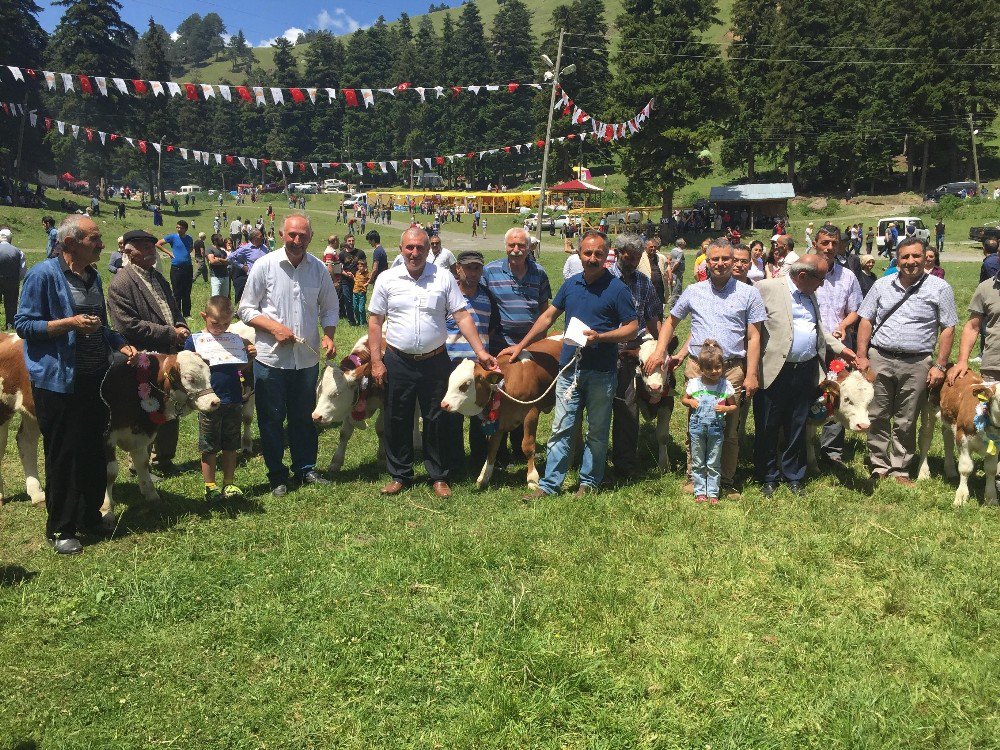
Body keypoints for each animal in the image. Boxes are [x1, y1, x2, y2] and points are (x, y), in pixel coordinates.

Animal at [444, 338, 568, 490]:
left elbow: (527, 446)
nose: (444, 404)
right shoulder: (499, 421)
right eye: (450, 381)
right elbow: (492, 448)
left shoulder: (531, 412)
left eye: (465, 385)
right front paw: (483, 477)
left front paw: (532, 479)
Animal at [916, 370, 1000, 506]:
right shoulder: (963, 438)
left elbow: (991, 470)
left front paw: (991, 498)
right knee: (925, 439)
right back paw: (923, 472)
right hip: (928, 409)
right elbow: (966, 468)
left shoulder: (996, 446)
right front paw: (961, 497)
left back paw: (950, 470)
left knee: (947, 437)